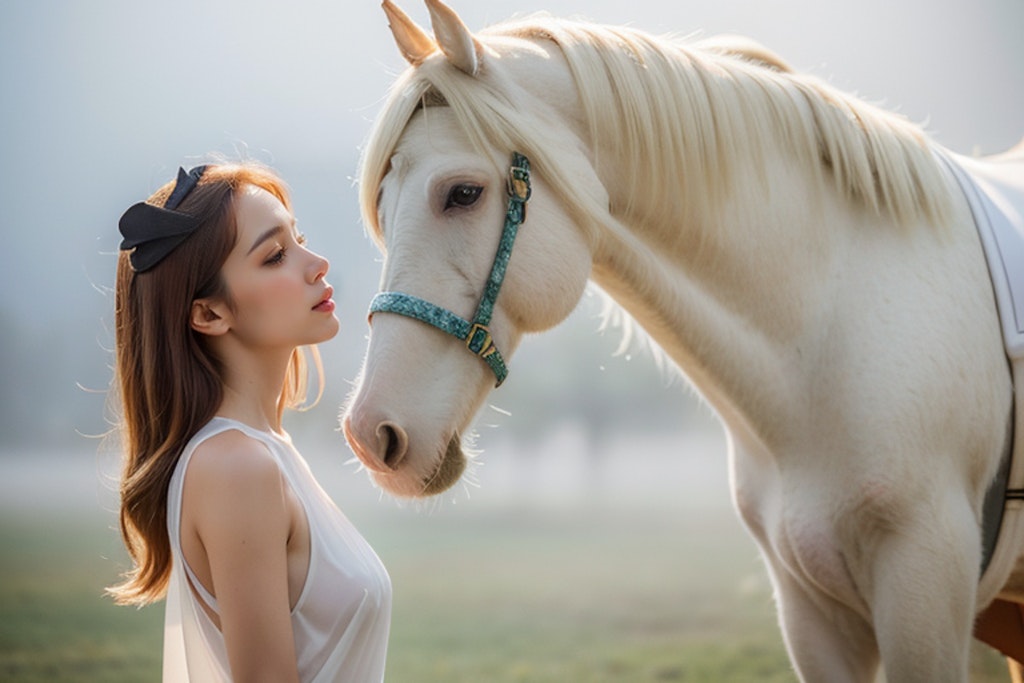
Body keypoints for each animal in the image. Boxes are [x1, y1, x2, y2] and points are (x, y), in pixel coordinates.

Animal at [344, 2, 1024, 679]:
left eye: (463, 193)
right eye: (382, 203)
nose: (370, 434)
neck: (835, 328)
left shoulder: (925, 589)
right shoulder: (813, 613)